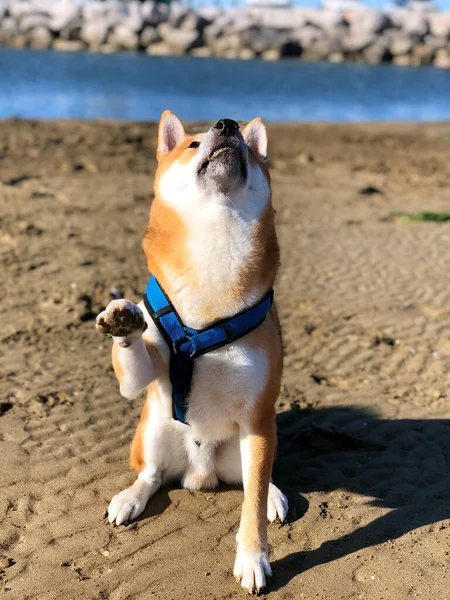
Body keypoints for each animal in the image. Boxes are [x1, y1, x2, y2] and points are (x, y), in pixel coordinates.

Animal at [96, 111, 290, 592]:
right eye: (192, 144)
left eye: (248, 147)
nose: (228, 125)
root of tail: (199, 473)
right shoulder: (139, 380)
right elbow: (133, 356)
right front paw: (123, 319)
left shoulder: (259, 414)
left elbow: (252, 501)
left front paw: (252, 557)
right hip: (153, 426)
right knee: (151, 474)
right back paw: (130, 498)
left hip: (254, 440)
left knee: (256, 481)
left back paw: (274, 495)